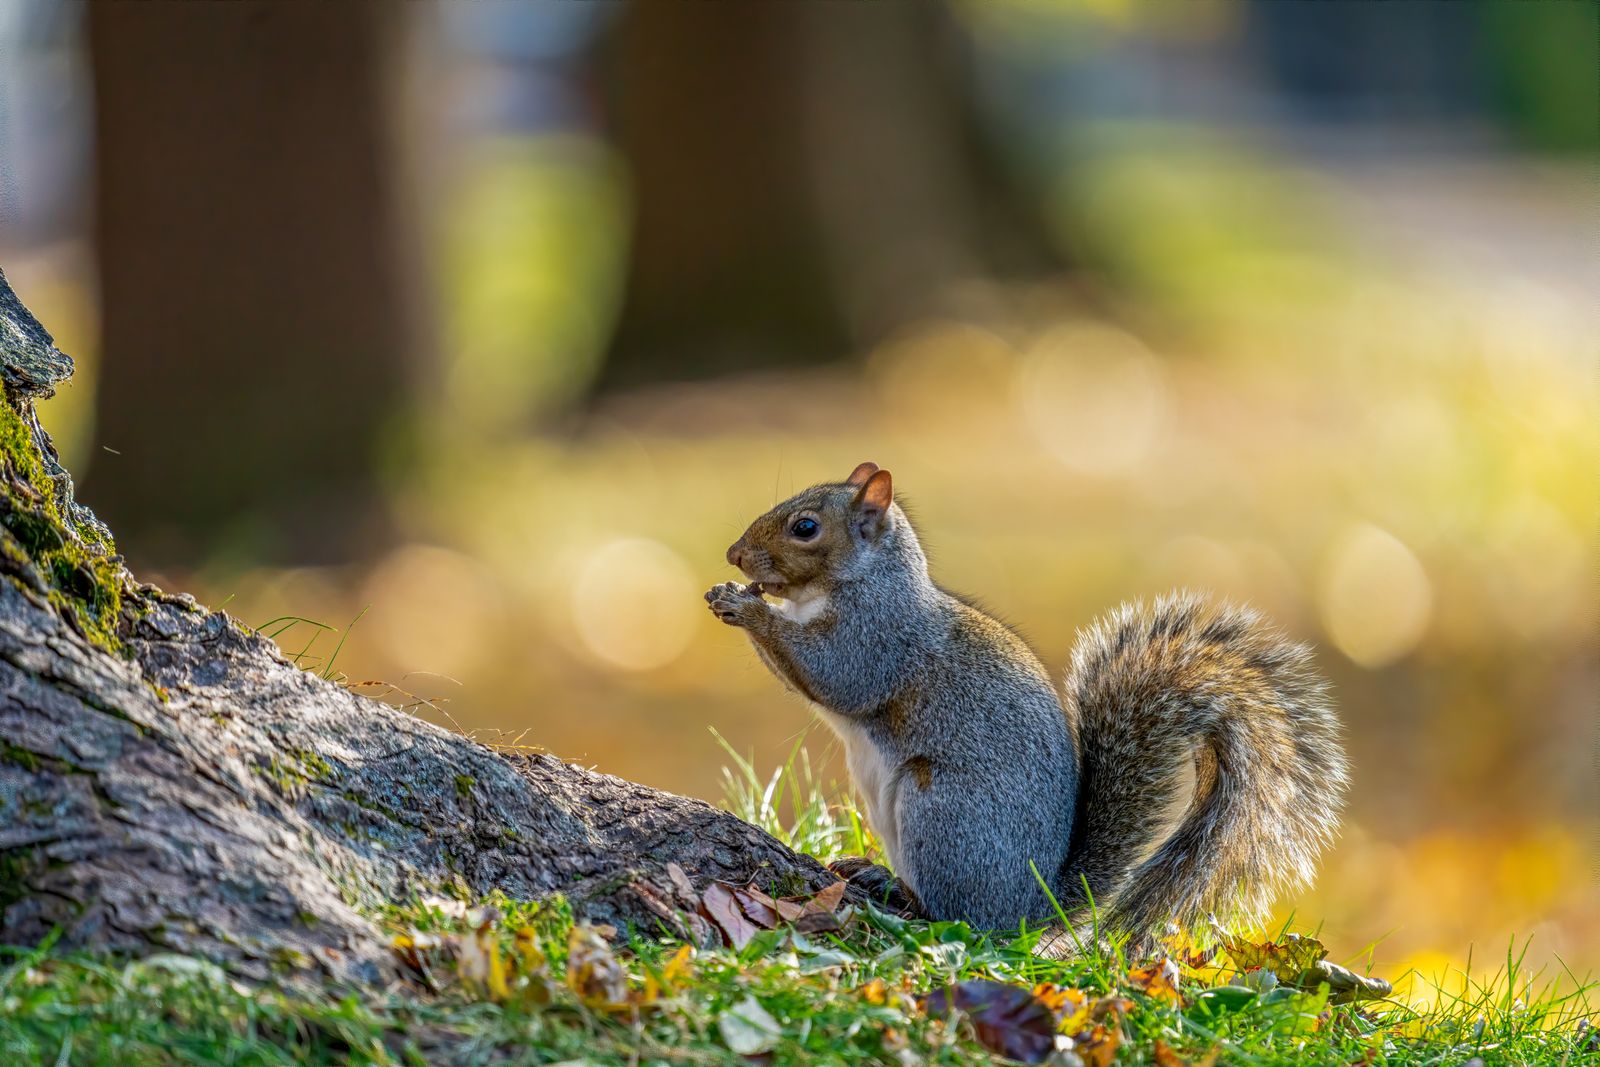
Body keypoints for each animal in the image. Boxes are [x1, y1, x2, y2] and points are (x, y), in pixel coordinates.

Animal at [705, 462, 1348, 943]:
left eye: (805, 526)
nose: (734, 554)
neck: (864, 582)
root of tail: (1029, 908)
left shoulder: (879, 638)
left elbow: (834, 675)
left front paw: (748, 606)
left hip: (943, 813)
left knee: (959, 918)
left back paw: (896, 895)